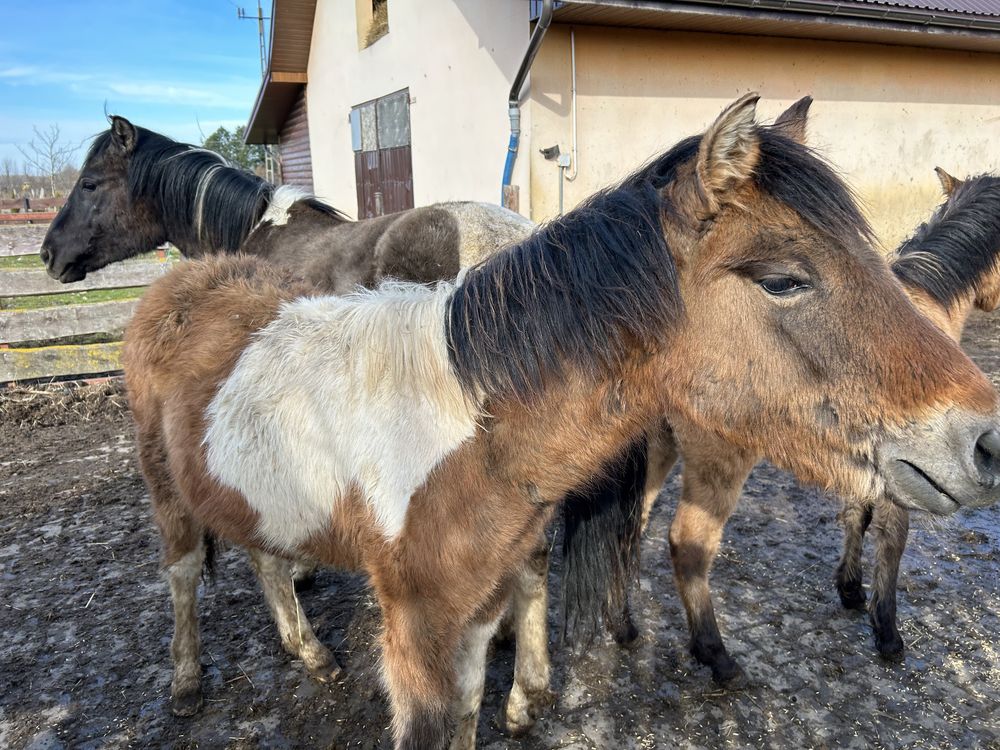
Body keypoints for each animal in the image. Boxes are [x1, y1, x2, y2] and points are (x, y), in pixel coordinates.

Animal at [123, 95, 1000, 750]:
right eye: (784, 280)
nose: (986, 441)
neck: (471, 429)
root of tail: (178, 282)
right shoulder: (418, 637)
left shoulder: (478, 615)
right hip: (165, 491)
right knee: (181, 573)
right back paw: (186, 683)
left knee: (266, 560)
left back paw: (306, 651)